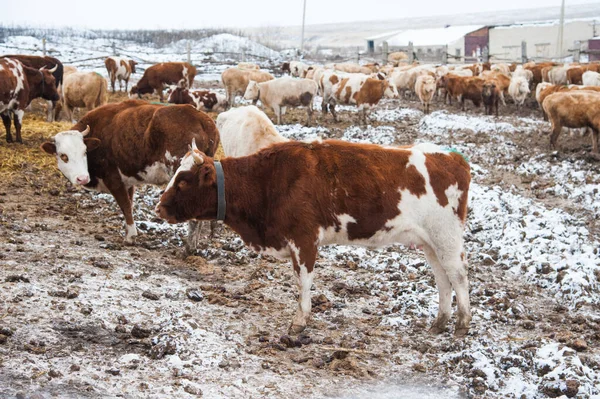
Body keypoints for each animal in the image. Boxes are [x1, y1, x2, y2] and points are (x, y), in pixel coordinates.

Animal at [156, 141, 474, 338]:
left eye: (183, 181)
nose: (159, 207)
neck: (269, 181)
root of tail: (452, 156)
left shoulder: (304, 239)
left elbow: (303, 281)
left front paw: (300, 321)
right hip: (430, 243)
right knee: (442, 279)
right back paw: (439, 323)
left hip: (446, 236)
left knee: (458, 276)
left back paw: (462, 324)